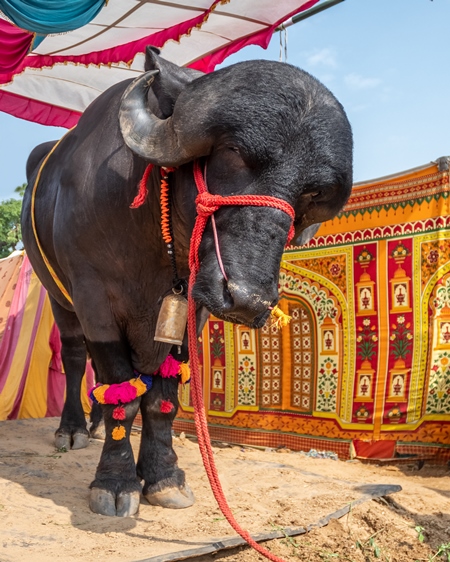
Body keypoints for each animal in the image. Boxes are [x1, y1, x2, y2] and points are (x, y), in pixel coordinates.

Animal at [20, 46, 352, 516]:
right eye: (233, 152)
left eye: (310, 193)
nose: (247, 299)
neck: (155, 241)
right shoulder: (93, 297)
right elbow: (122, 390)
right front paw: (116, 482)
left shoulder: (190, 307)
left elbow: (161, 398)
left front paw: (162, 475)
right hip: (58, 298)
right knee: (74, 357)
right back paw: (73, 429)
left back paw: (97, 425)